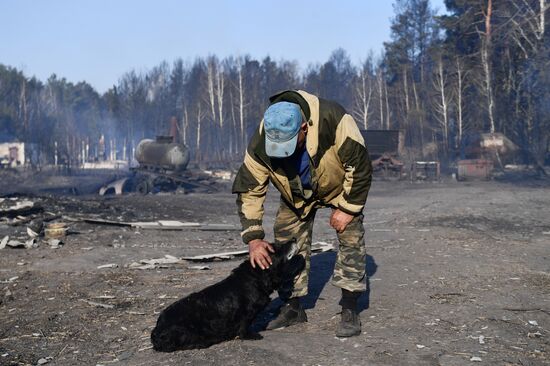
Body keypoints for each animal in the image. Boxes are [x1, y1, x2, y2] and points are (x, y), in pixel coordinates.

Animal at [151, 240, 306, 352]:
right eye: (276, 247)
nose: (294, 238)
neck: (255, 278)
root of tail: (157, 329)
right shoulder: (244, 313)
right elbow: (244, 326)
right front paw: (250, 336)